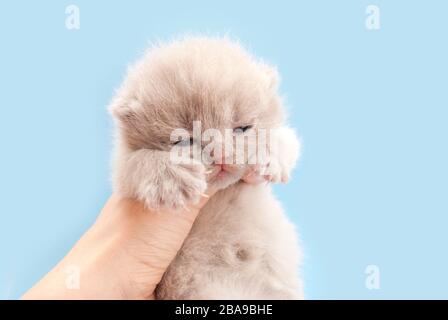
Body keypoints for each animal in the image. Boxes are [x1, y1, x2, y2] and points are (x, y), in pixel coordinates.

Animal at [110, 37, 302, 300]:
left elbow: (285, 136)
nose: (220, 155)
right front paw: (170, 178)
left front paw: (271, 153)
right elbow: (137, 162)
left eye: (243, 128)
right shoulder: (121, 168)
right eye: (184, 141)